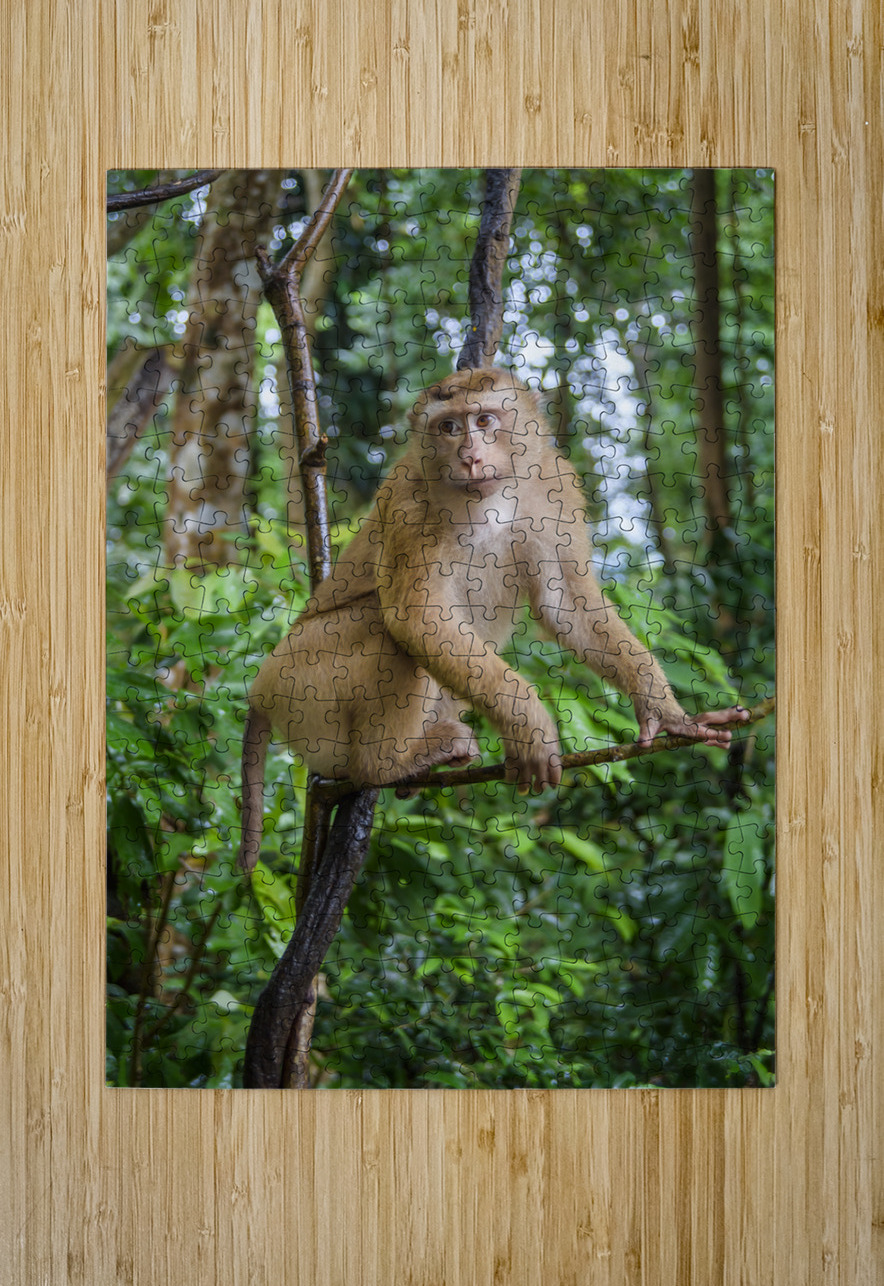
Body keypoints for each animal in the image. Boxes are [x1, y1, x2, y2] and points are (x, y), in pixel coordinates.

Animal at [237, 367, 748, 872]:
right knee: (384, 631)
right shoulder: (408, 501)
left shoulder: (556, 486)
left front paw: (665, 711)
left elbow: (567, 605)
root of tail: (260, 689)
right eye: (447, 426)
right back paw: (385, 764)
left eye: (483, 420)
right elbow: (416, 619)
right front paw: (529, 722)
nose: (469, 455)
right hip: (303, 681)